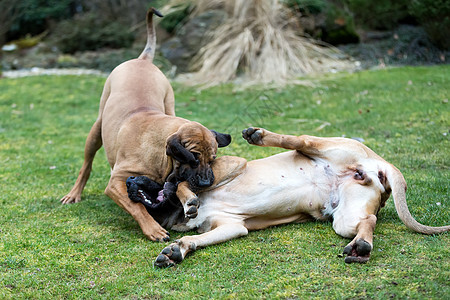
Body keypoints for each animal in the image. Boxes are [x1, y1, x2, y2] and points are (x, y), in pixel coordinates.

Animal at [59, 8, 230, 241]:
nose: (206, 183)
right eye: (193, 159)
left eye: (212, 159)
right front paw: (152, 228)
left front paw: (188, 199)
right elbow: (136, 206)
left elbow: (177, 186)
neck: (159, 153)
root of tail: (143, 59)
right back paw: (74, 193)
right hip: (96, 129)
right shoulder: (116, 183)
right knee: (86, 165)